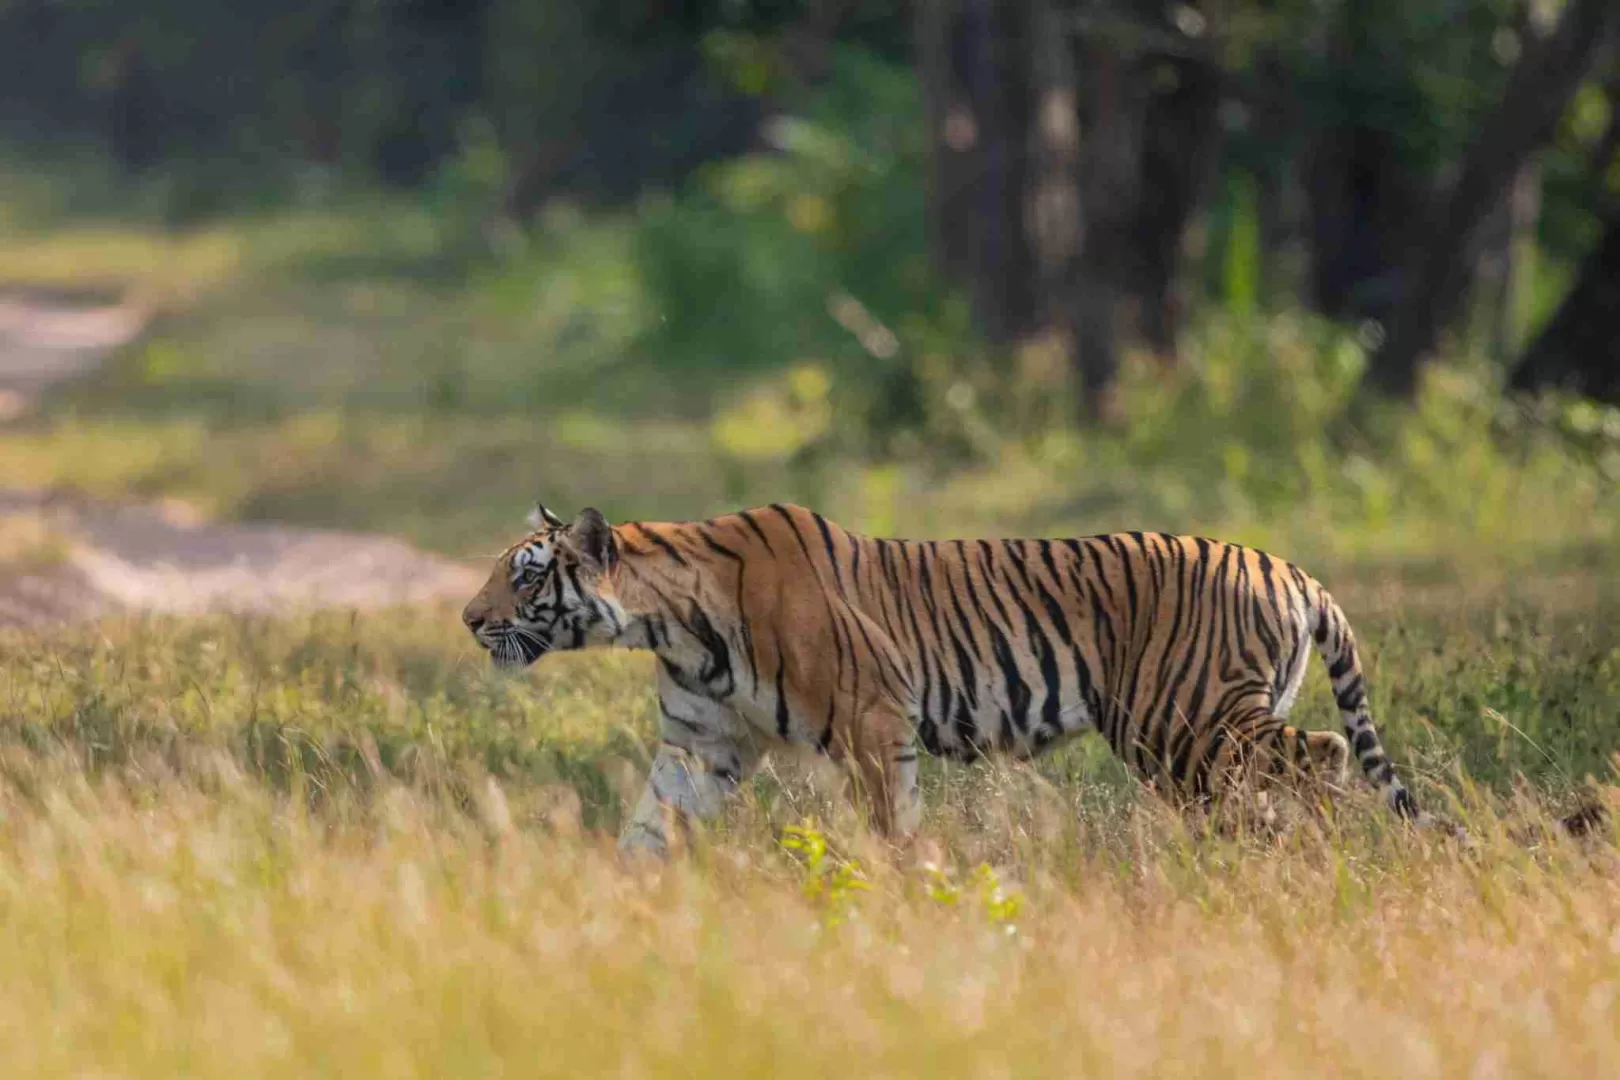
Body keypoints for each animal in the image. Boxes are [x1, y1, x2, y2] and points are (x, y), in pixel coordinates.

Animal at [461, 502, 1427, 855]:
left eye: (526, 575)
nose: (468, 619)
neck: (669, 623)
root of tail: (1295, 571)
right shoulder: (702, 745)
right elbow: (647, 828)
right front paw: (610, 909)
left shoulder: (872, 723)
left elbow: (890, 827)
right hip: (1188, 743)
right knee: (1273, 784)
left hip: (1188, 721)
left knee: (1323, 753)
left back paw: (1306, 862)